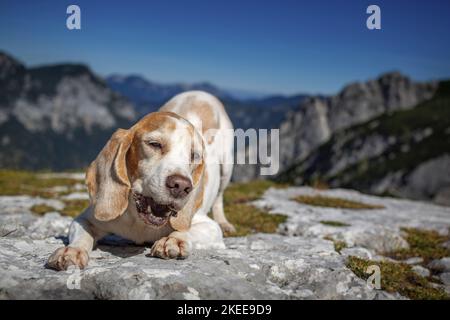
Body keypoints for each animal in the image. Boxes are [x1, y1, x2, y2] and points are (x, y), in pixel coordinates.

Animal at [47, 90, 234, 270]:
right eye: (154, 144)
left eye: (194, 156)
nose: (181, 186)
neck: (141, 224)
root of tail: (200, 92)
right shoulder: (86, 218)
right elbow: (82, 234)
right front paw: (72, 250)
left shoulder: (209, 227)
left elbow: (186, 231)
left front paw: (173, 240)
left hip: (227, 166)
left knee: (219, 197)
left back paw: (225, 223)